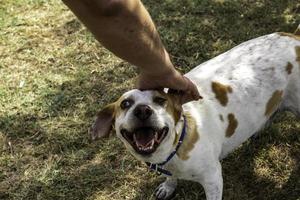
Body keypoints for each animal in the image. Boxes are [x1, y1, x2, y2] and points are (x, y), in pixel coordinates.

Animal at [91, 27, 300, 200]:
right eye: (125, 103)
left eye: (160, 100)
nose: (143, 110)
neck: (177, 145)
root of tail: (294, 37)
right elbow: (170, 179)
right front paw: (168, 186)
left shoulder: (213, 179)